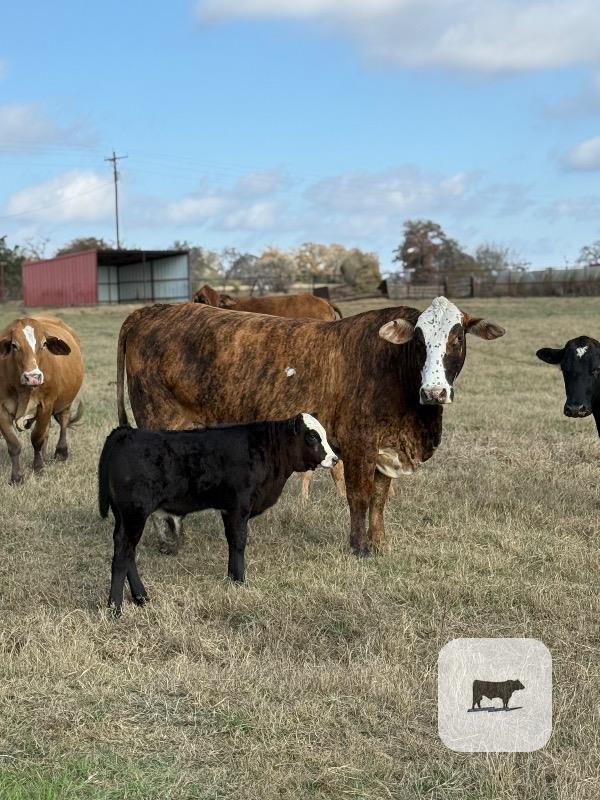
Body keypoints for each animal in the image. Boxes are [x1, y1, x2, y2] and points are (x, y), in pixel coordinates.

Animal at [0, 316, 84, 483]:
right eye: (14, 345)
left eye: (44, 344)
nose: (33, 377)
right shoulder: (1, 409)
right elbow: (13, 444)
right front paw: (16, 477)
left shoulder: (46, 405)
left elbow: (37, 438)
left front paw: (38, 467)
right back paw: (45, 457)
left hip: (65, 403)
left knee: (63, 422)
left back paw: (61, 452)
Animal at [99, 413, 338, 612]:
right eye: (312, 436)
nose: (335, 458)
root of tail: (128, 432)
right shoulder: (239, 507)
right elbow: (239, 542)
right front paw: (240, 580)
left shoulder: (229, 510)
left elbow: (232, 541)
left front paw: (232, 578)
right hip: (134, 513)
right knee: (123, 553)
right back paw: (115, 607)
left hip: (125, 516)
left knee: (127, 550)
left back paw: (141, 597)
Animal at [116, 297, 505, 555]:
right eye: (420, 340)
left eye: (458, 337)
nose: (434, 391)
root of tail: (150, 311)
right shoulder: (358, 445)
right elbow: (359, 497)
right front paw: (359, 547)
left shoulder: (386, 449)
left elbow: (379, 500)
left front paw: (380, 544)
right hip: (158, 417)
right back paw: (168, 540)